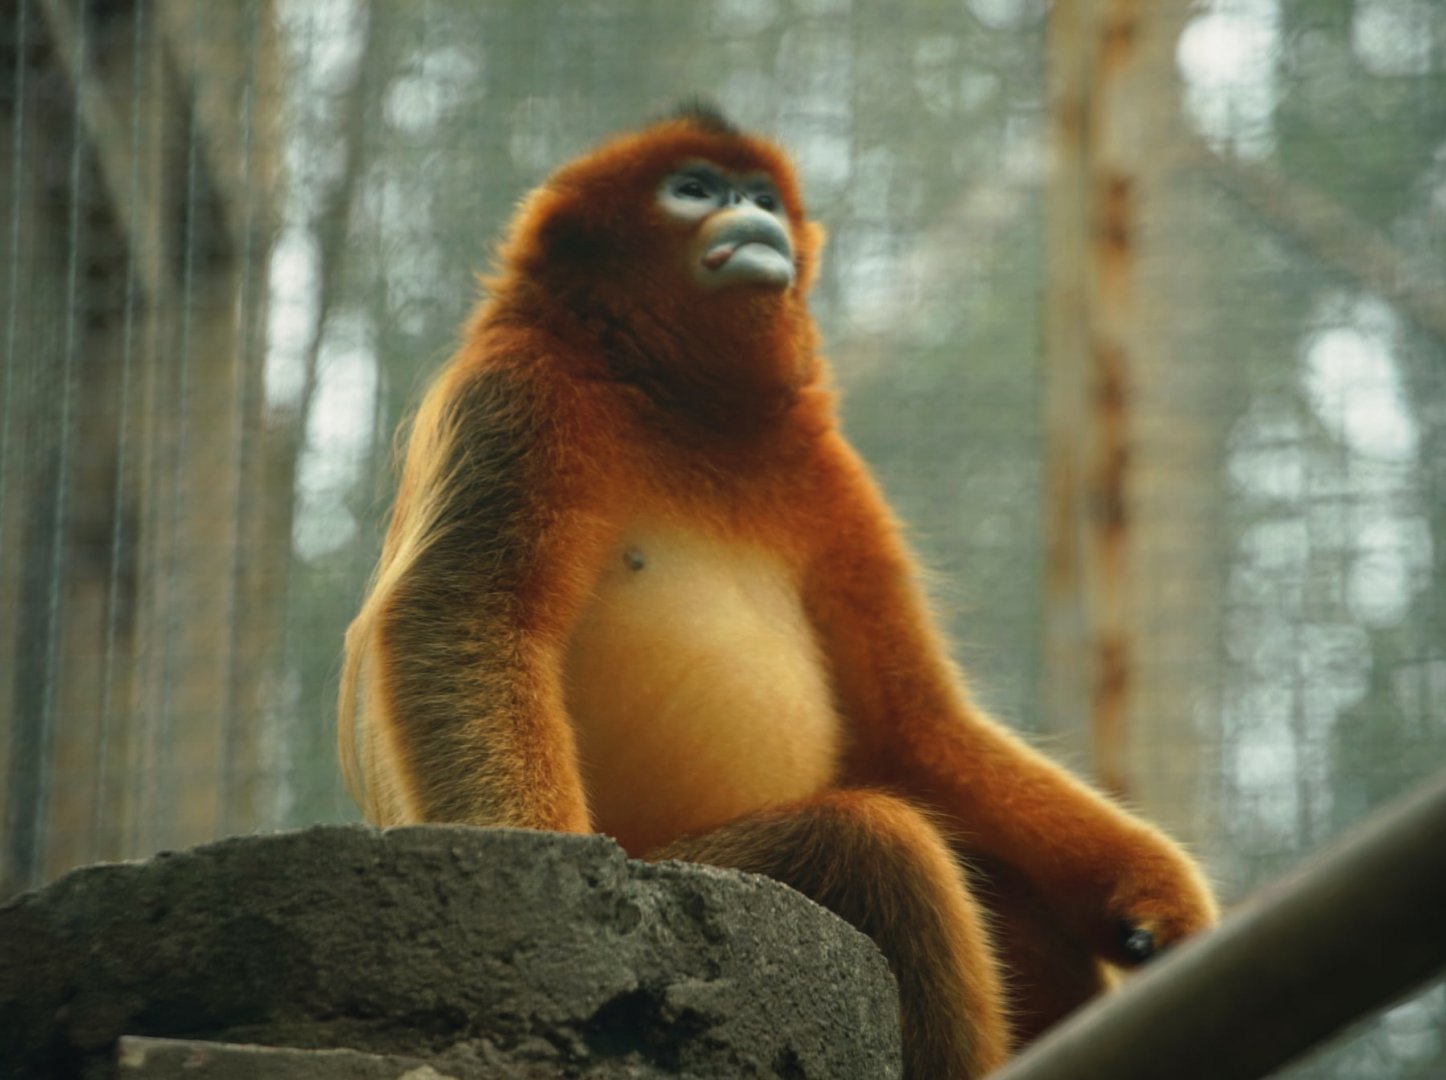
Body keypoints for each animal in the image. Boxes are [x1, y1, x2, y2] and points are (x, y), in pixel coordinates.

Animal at [338, 103, 1218, 1079]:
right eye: (693, 189)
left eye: (760, 196)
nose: (749, 217)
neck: (678, 404)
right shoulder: (517, 391)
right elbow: (463, 621)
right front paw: (552, 890)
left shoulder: (825, 470)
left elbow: (913, 720)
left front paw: (1157, 892)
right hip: (689, 868)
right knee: (875, 845)